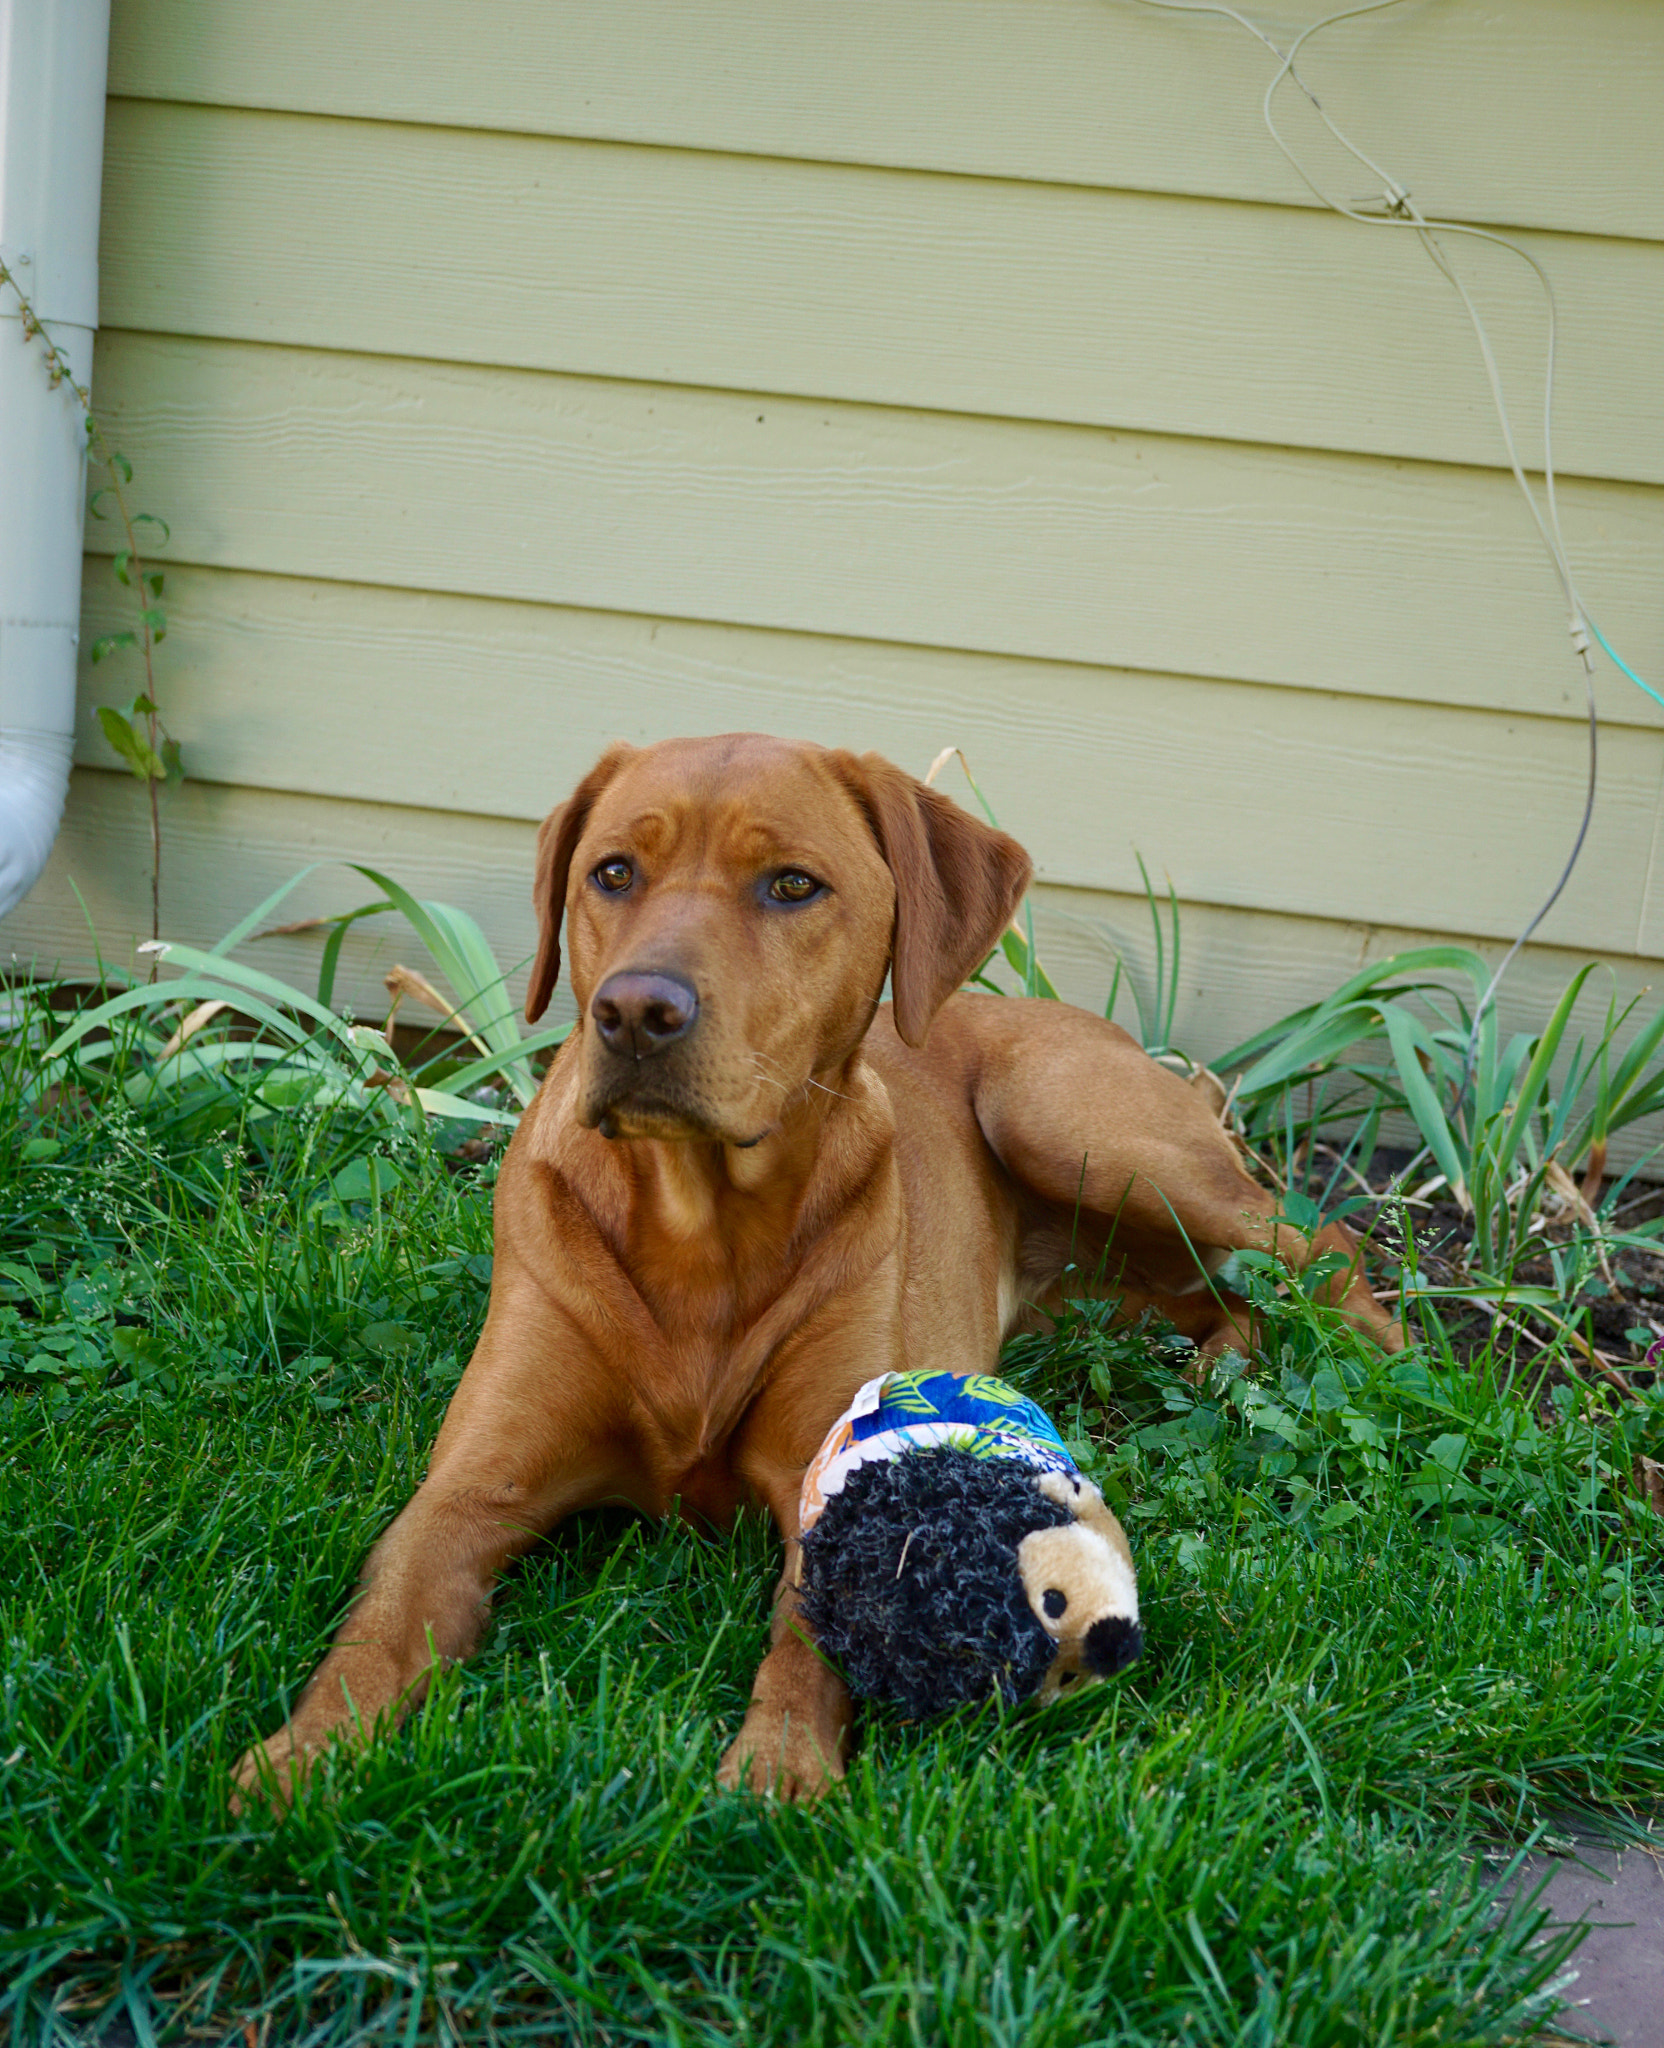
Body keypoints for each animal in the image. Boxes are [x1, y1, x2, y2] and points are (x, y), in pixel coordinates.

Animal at [233, 737, 1393, 1810]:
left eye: (791, 884)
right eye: (612, 872)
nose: (634, 1011)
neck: (700, 1224)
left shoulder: (822, 1469)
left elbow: (812, 1635)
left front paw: (777, 1766)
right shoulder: (471, 1490)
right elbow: (381, 1622)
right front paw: (294, 1760)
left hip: (1078, 1128)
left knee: (1324, 1246)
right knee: (1221, 1292)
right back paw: (1223, 1363)